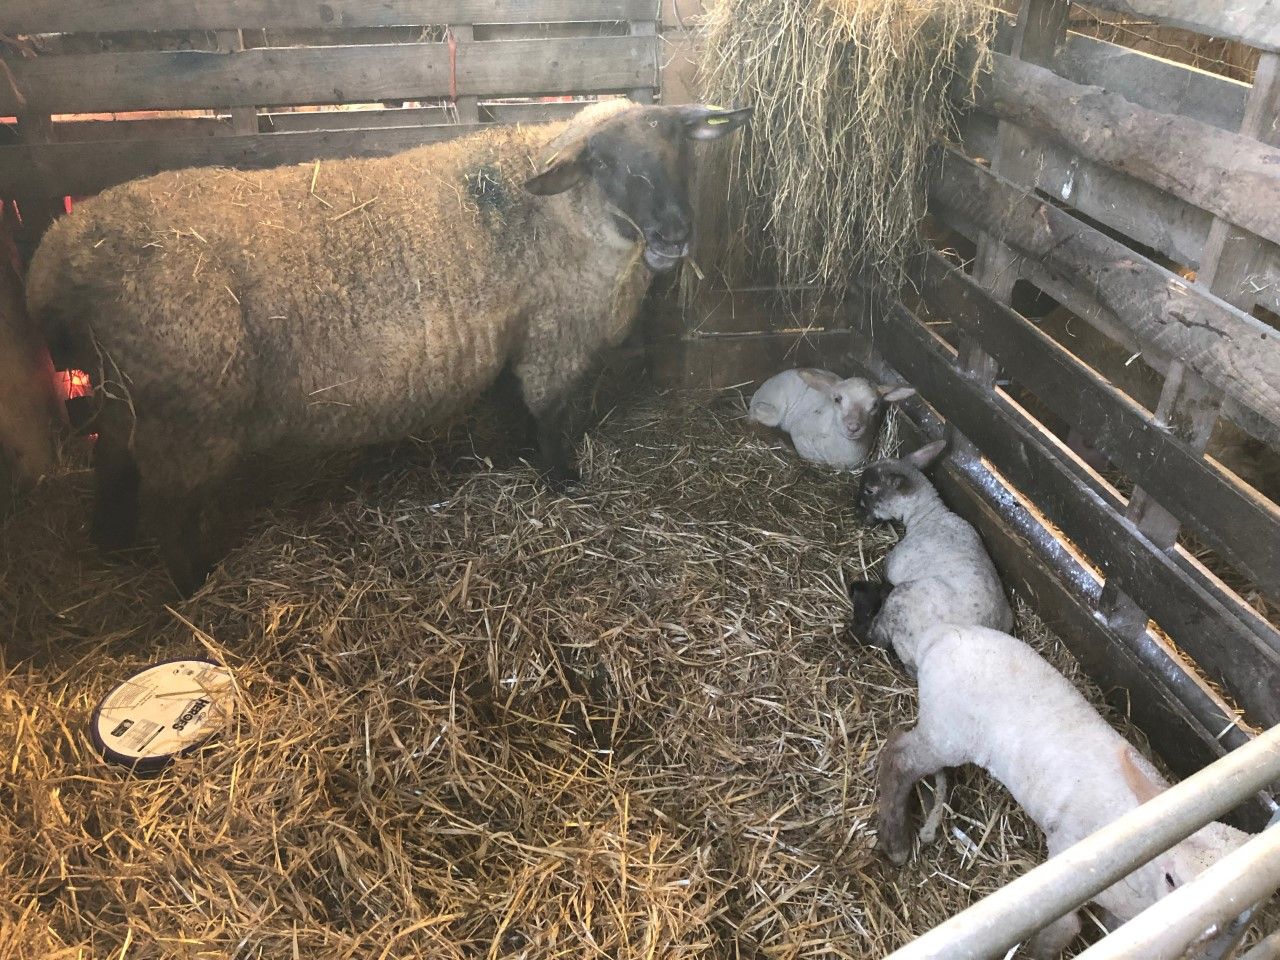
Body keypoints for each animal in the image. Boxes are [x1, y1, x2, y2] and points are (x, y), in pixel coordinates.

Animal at [26, 100, 751, 594]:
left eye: (681, 148)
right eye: (601, 164)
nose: (675, 232)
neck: (562, 217)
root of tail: (57, 258)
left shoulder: (520, 330)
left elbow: (514, 403)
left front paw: (516, 453)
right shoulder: (556, 334)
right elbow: (550, 415)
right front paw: (563, 481)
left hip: (129, 394)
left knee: (111, 461)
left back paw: (109, 542)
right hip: (190, 404)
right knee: (168, 507)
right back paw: (193, 582)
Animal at [846, 439, 1012, 671]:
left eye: (870, 490)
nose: (856, 511)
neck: (928, 515)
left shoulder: (895, 565)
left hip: (902, 596)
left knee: (875, 638)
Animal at [877, 622, 1250, 959]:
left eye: (1237, 912)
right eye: (1171, 878)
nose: (1199, 940)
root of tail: (941, 636)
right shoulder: (1066, 860)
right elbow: (1062, 929)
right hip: (948, 730)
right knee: (898, 755)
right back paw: (895, 841)